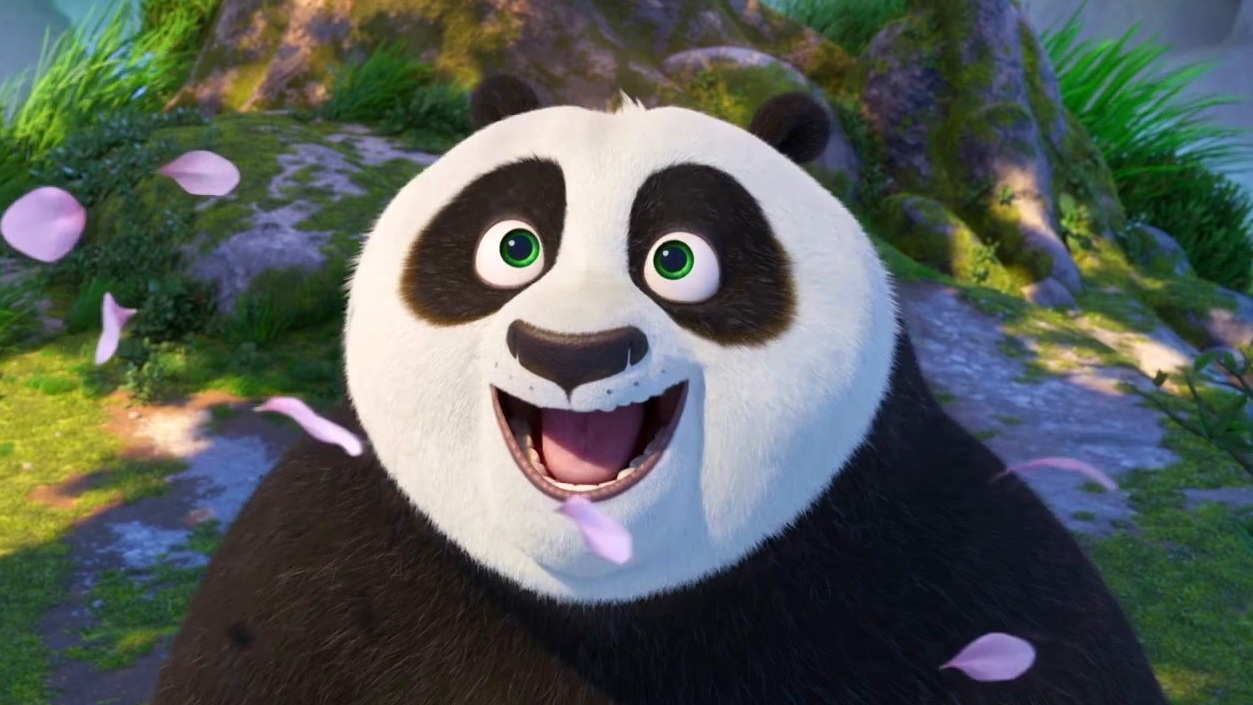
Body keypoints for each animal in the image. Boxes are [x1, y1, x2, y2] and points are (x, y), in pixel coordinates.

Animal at [151, 75, 1169, 704]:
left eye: (677, 259)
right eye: (513, 246)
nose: (573, 353)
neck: (601, 597)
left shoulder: (954, 564)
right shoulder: (307, 569)